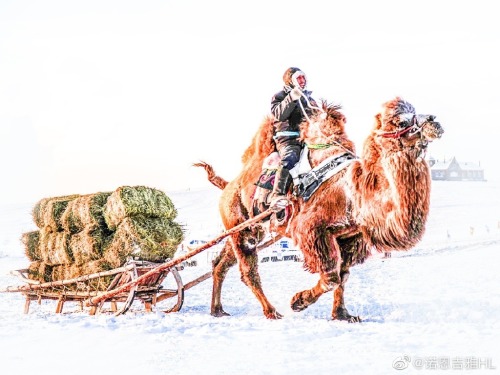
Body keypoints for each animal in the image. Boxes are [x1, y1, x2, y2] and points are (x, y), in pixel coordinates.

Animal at [197, 97, 444, 320]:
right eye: (400, 121)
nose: (434, 121)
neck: (352, 193)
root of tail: (227, 185)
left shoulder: (350, 237)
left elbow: (343, 275)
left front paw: (342, 314)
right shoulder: (312, 228)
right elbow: (331, 277)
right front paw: (298, 301)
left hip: (247, 230)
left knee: (220, 264)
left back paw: (217, 310)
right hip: (240, 226)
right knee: (249, 271)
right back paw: (271, 312)